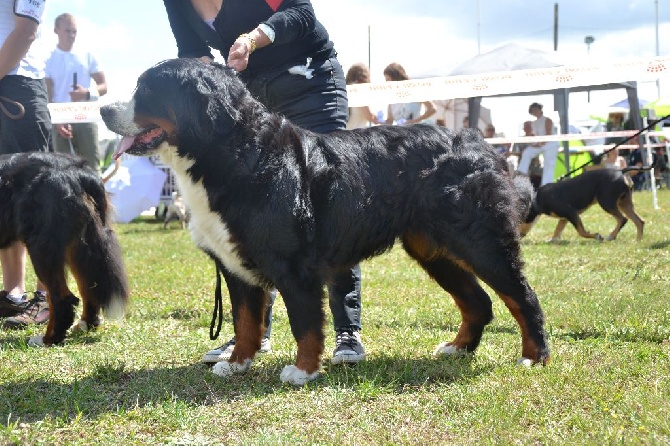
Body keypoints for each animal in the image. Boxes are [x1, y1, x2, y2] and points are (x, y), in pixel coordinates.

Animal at [0, 152, 129, 344]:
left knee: (61, 297)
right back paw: (84, 324)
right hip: (81, 244)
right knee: (88, 286)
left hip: (42, 245)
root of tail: (78, 171)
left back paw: (49, 339)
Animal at [101, 58, 552, 386]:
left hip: (482, 242)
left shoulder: (293, 266)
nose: (104, 108)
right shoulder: (237, 265)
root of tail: (480, 144)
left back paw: (534, 357)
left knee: (523, 297)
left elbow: (305, 323)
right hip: (433, 249)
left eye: (147, 89)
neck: (234, 152)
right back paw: (458, 349)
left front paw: (302, 371)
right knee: (478, 302)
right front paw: (238, 362)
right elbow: (246, 321)